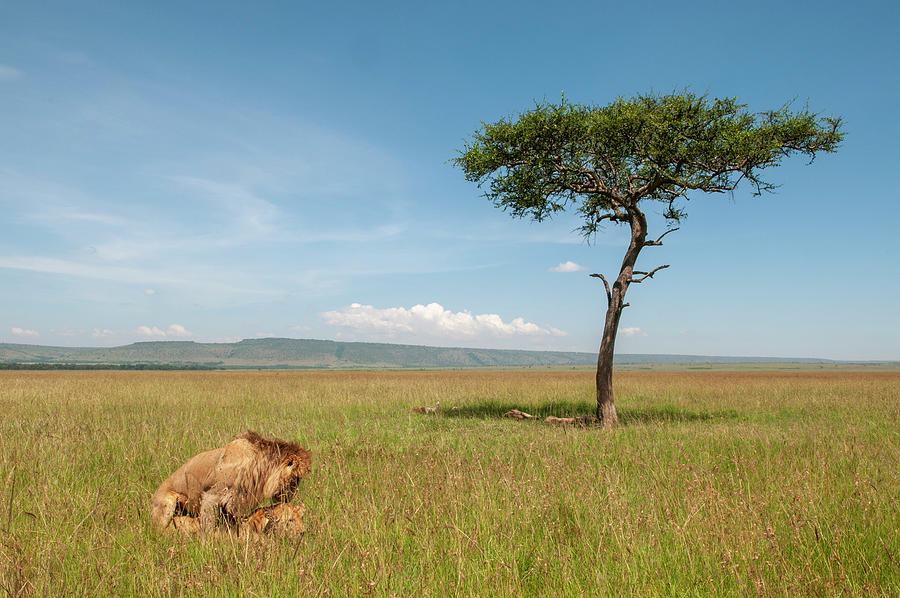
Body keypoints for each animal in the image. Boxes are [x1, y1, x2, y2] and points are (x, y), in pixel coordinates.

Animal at [149, 432, 312, 536]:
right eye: (295, 480)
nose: (290, 497)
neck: (260, 469)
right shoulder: (213, 496)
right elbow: (208, 525)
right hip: (167, 503)